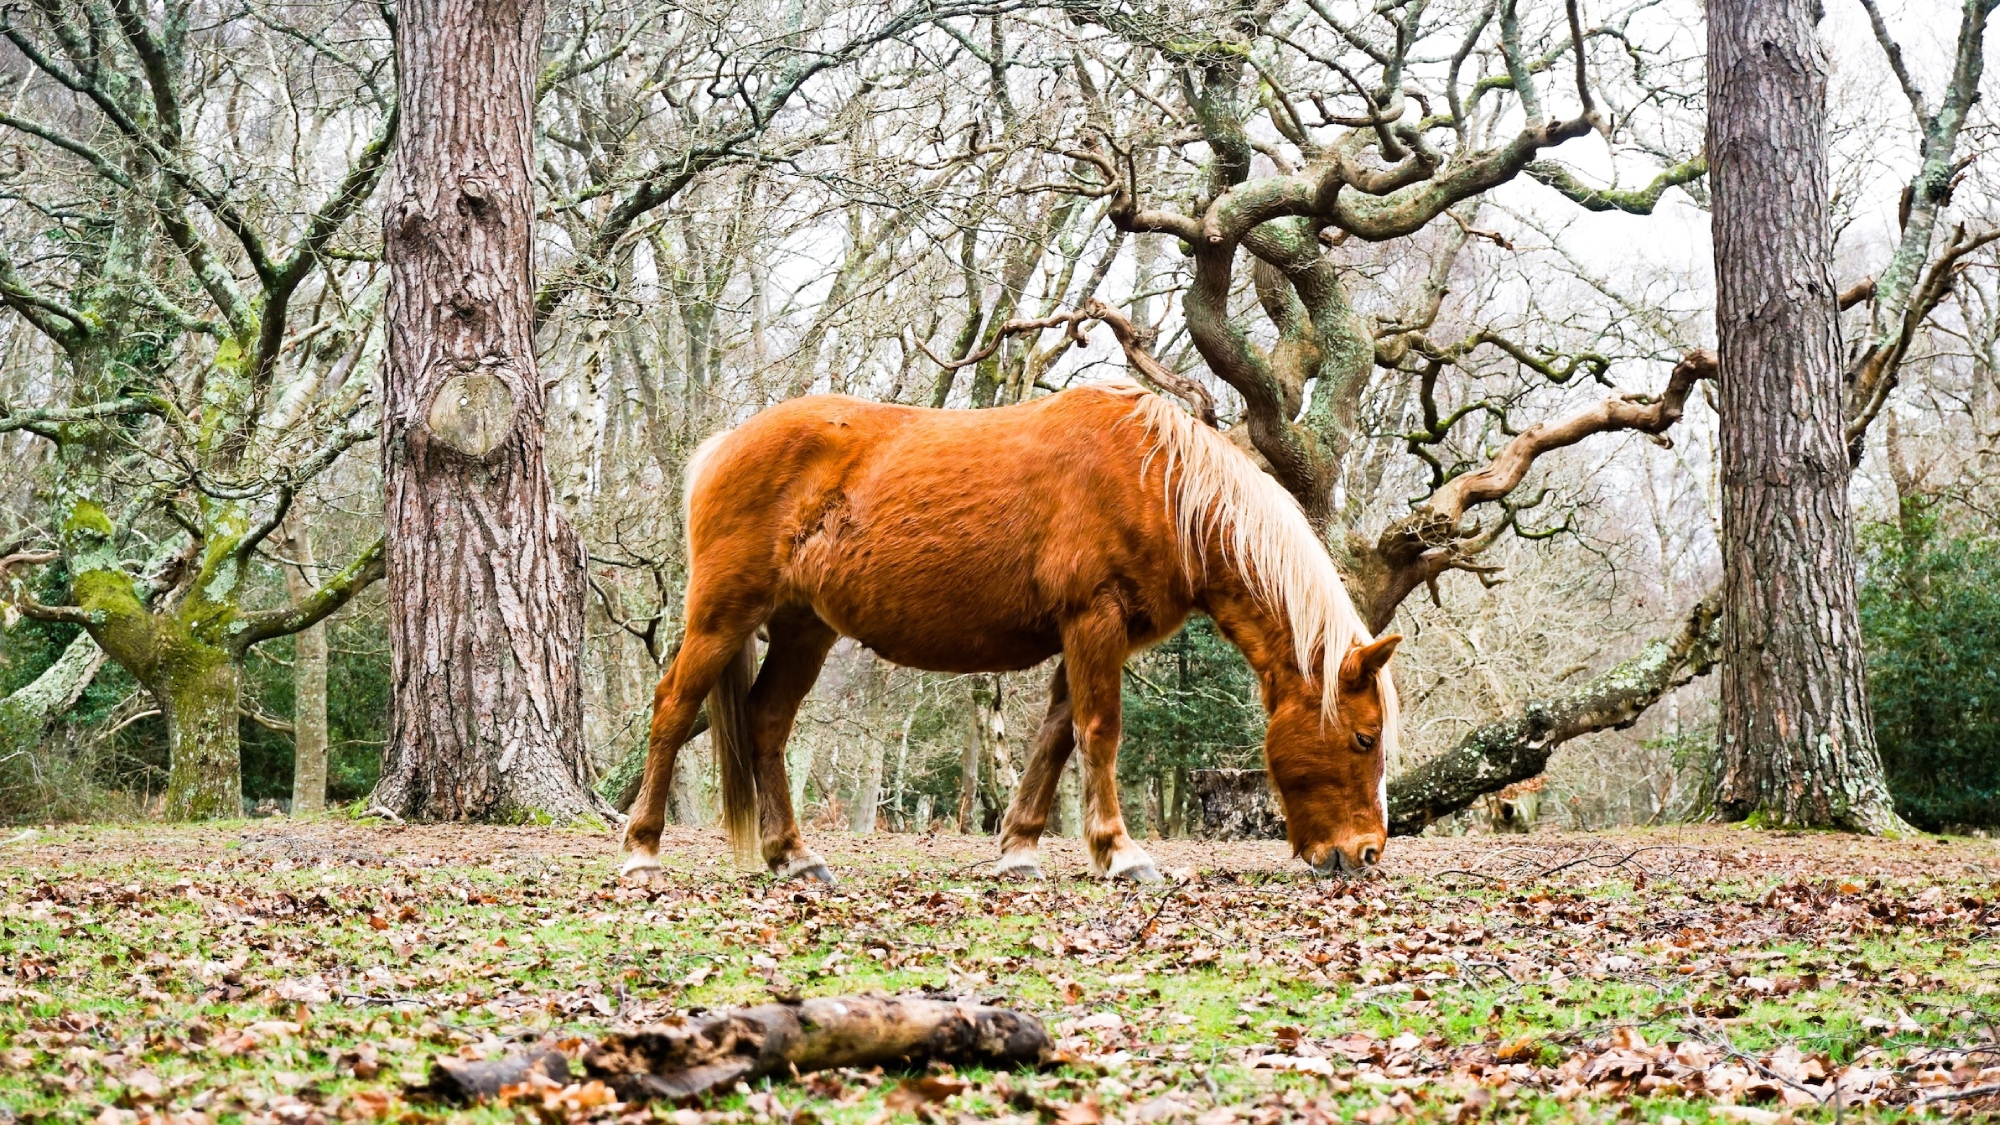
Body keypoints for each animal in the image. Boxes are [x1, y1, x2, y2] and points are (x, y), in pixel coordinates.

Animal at [616, 380, 1400, 880]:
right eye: (1365, 738)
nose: (1365, 855)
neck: (1159, 484)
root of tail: (723, 446)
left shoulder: (1091, 635)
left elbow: (1056, 737)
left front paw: (1020, 849)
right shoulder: (1093, 620)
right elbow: (1098, 732)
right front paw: (1122, 854)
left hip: (803, 629)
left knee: (767, 723)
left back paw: (794, 857)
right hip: (722, 614)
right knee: (672, 708)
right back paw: (642, 848)